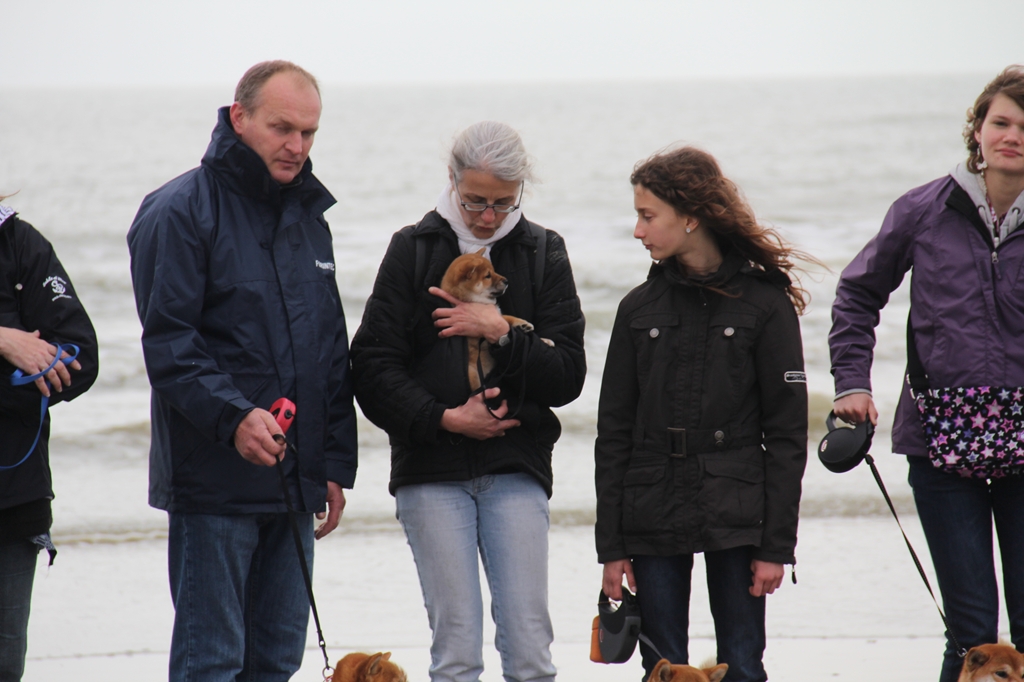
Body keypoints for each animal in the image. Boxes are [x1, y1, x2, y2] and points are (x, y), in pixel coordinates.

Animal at [440, 248, 536, 387]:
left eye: (493, 271)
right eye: (488, 276)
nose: (506, 280)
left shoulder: (497, 315)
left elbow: (507, 318)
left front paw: (524, 325)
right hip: (473, 373)